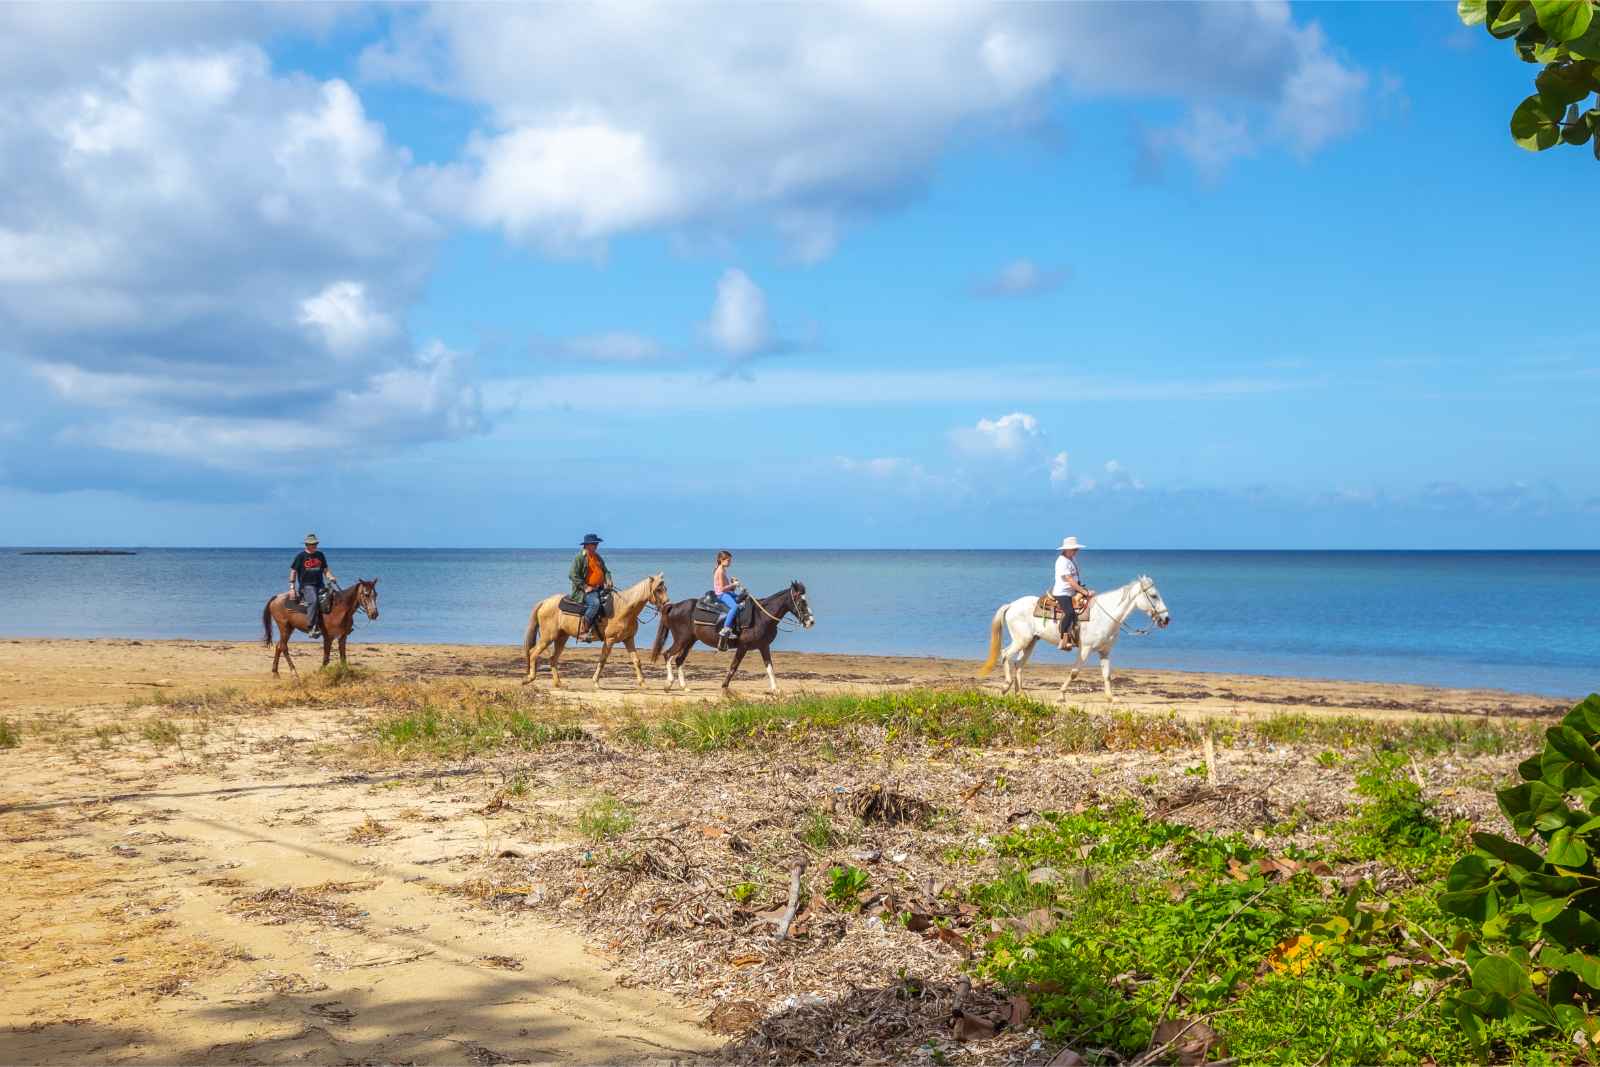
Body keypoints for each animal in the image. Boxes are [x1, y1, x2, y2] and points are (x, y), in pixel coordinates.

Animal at [524, 575, 668, 694]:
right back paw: (529, 678)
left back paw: (558, 683)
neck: (623, 609)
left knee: (552, 658)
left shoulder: (628, 639)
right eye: (658, 590)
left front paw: (643, 684)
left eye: (665, 588)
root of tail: (544, 602)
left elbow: (636, 661)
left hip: (561, 638)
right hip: (548, 637)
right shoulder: (609, 640)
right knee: (533, 653)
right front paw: (596, 682)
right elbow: (603, 659)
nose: (667, 605)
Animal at [652, 585, 819, 694]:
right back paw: (668, 683)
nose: (811, 622)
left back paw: (684, 686)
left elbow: (770, 667)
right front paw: (724, 686)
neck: (761, 616)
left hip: (690, 641)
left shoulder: (764, 646)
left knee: (679, 659)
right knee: (667, 654)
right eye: (801, 601)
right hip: (681, 639)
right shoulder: (743, 647)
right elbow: (734, 666)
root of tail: (674, 606)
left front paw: (776, 688)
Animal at [966, 575, 1171, 700]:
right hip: (1021, 640)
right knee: (1005, 654)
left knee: (1018, 663)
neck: (1105, 615)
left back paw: (1019, 693)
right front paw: (1061, 695)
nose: (1166, 619)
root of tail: (1011, 605)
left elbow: (1107, 674)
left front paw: (1111, 698)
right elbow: (1074, 672)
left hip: (1031, 642)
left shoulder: (1104, 651)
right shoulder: (1085, 649)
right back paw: (1006, 686)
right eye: (1154, 595)